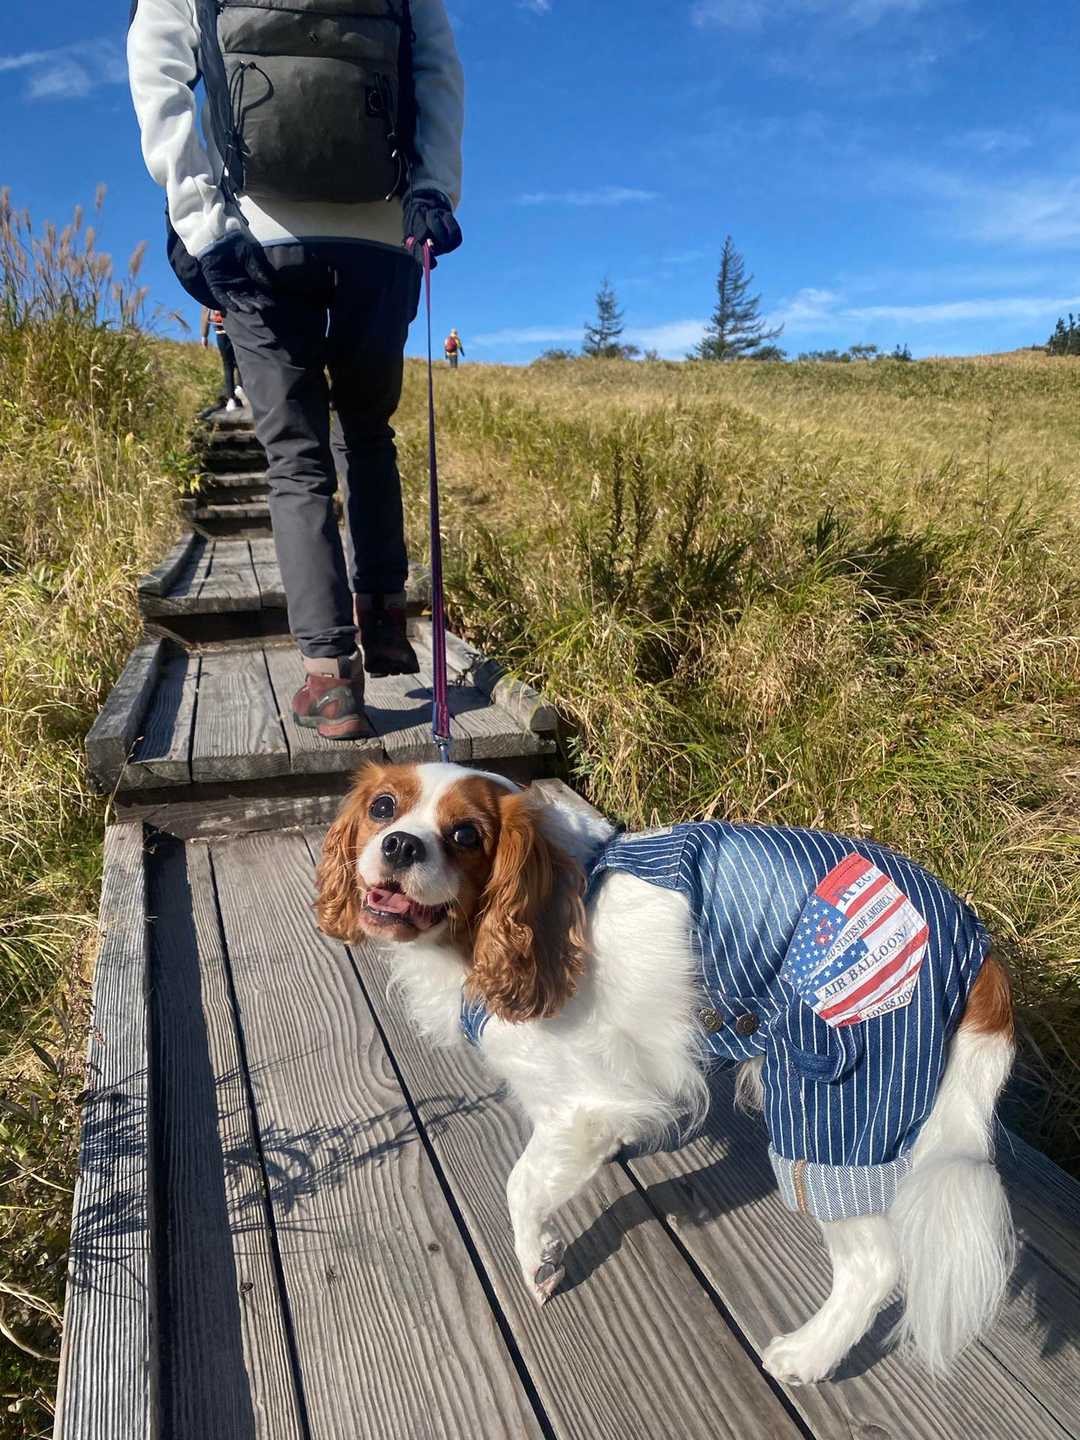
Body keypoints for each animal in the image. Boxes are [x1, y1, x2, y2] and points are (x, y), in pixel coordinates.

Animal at [316, 761, 1016, 1385]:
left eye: (465, 835)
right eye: (382, 807)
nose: (400, 843)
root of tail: (975, 942)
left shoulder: (582, 1106)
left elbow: (521, 1186)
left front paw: (537, 1259)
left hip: (835, 1092)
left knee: (872, 1262)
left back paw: (808, 1356)